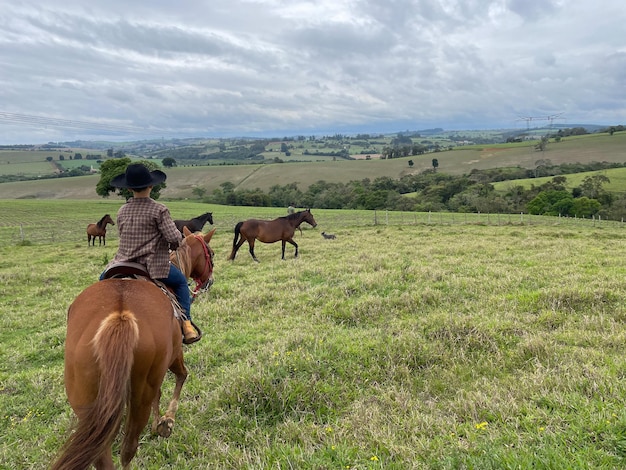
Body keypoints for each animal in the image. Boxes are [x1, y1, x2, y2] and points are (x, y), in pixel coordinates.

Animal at [50, 226, 214, 468]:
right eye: (210, 253)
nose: (210, 281)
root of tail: (120, 315)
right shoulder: (174, 356)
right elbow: (181, 377)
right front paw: (166, 422)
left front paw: (158, 424)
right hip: (140, 394)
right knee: (128, 448)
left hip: (87, 402)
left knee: (103, 455)